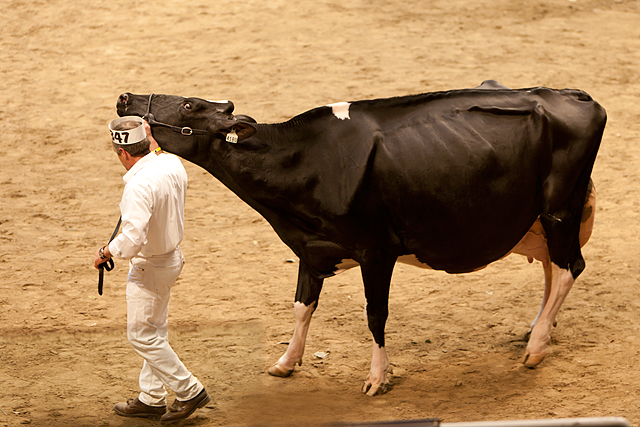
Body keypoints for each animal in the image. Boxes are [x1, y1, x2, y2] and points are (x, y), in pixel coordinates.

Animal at [114, 83, 604, 398]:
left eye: (189, 104)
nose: (125, 97)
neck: (307, 162)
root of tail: (572, 94)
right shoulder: (312, 249)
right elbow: (301, 306)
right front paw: (286, 363)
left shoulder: (377, 251)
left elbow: (375, 315)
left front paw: (377, 378)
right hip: (539, 219)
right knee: (553, 266)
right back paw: (537, 330)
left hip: (560, 208)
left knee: (569, 267)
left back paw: (536, 348)